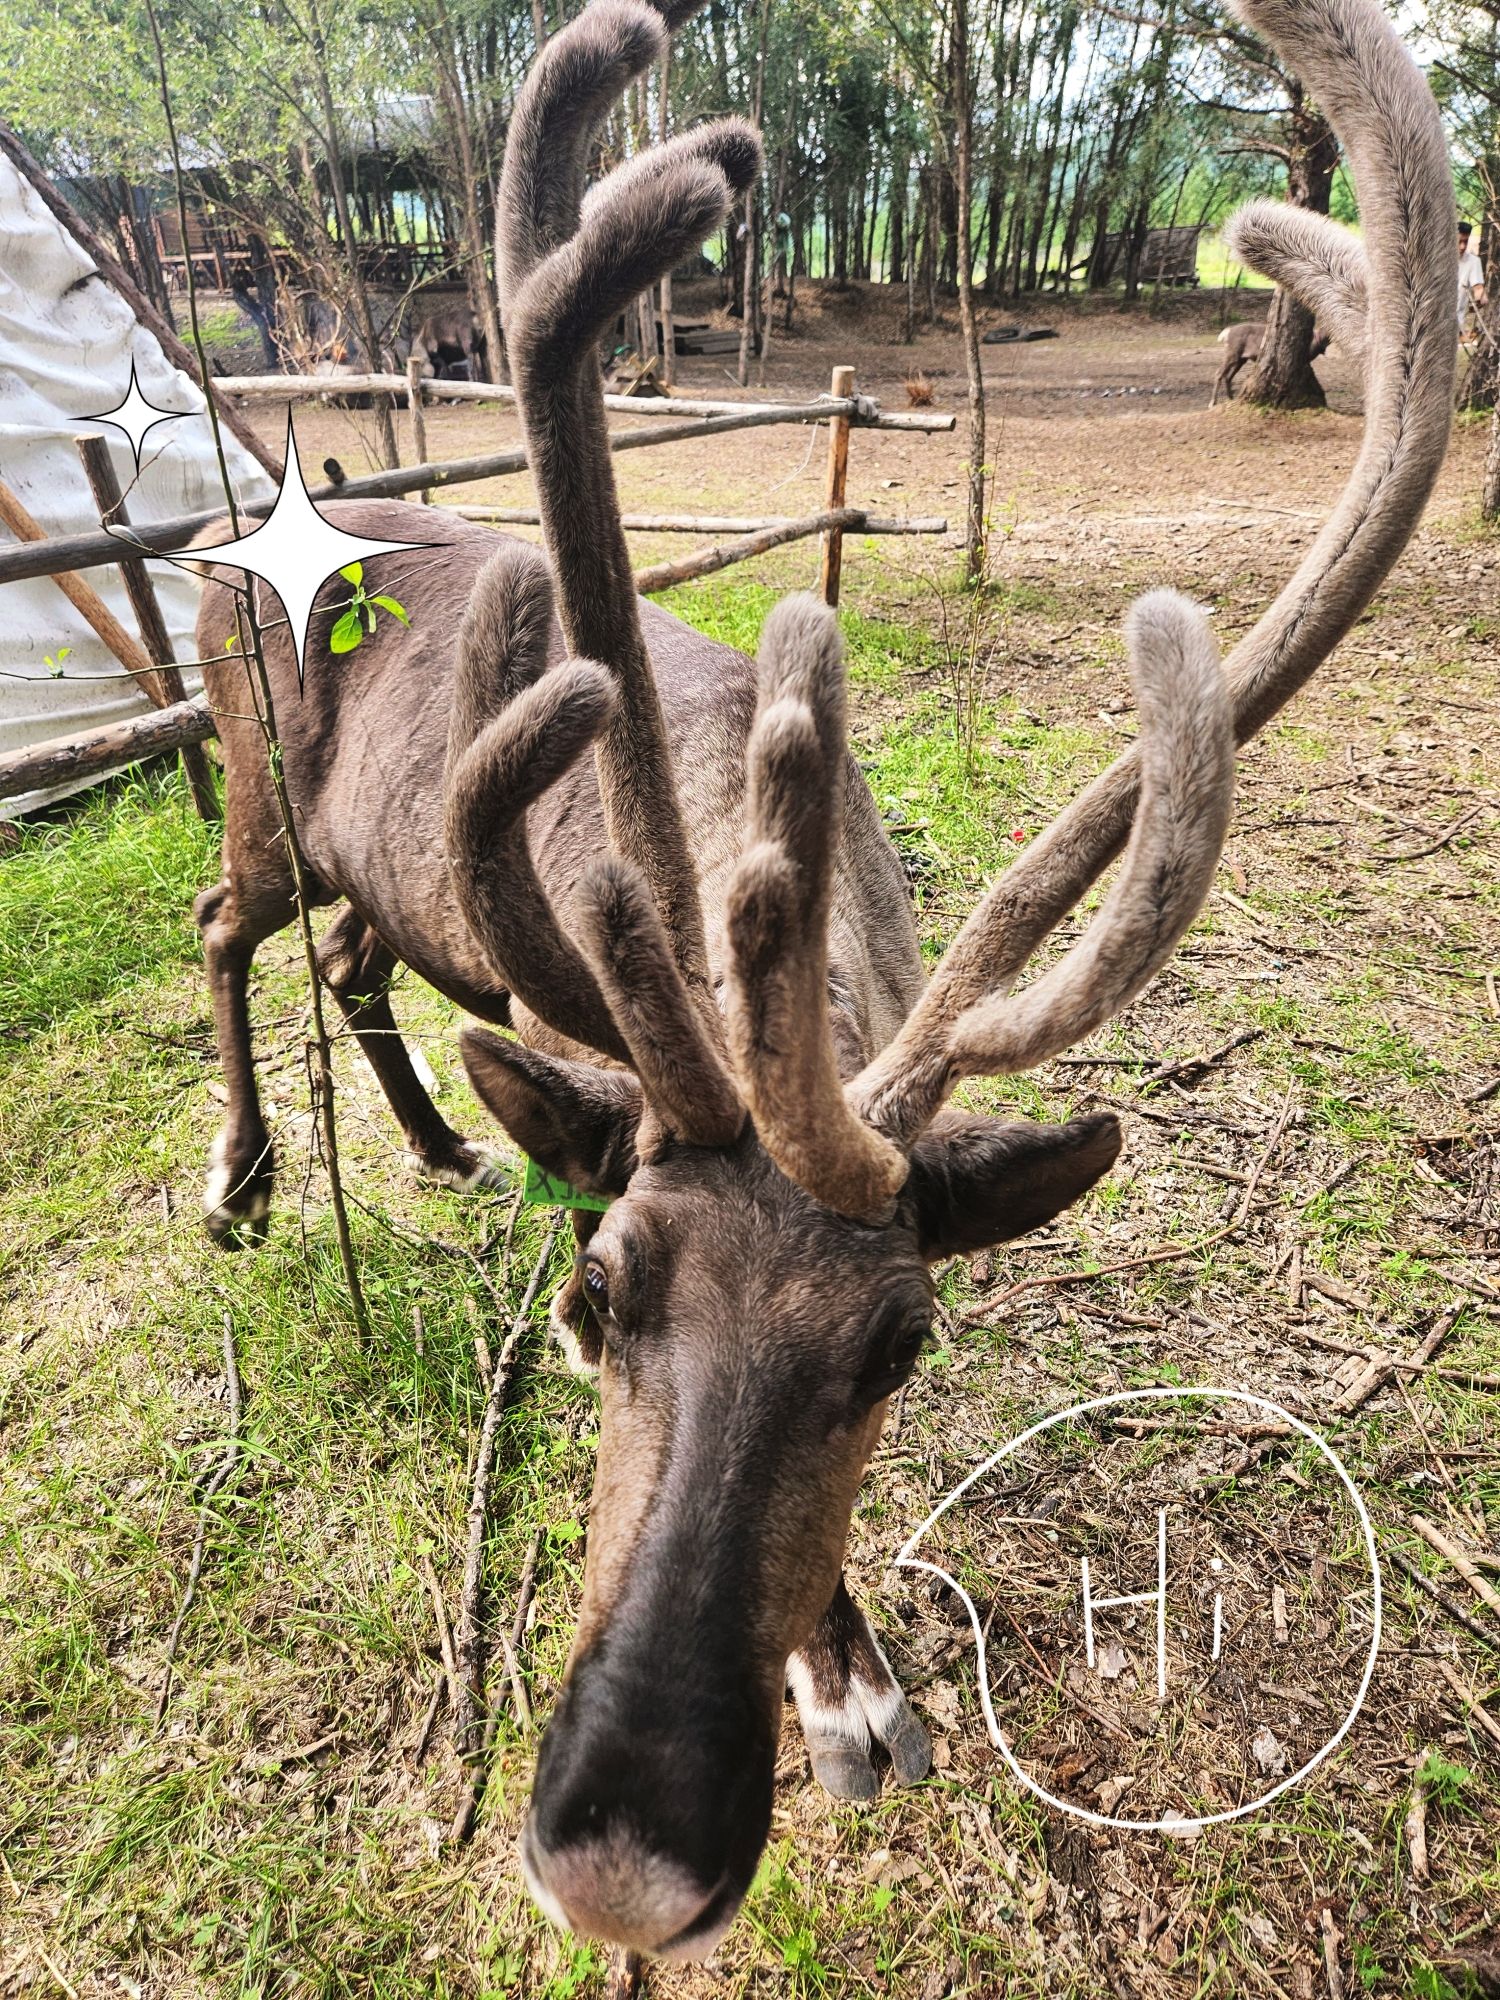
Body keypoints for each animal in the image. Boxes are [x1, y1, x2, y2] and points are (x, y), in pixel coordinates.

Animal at [188, 0, 1455, 1962]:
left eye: (902, 1341)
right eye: (605, 1295)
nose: (625, 1866)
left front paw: (850, 1682)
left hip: (387, 876)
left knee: (343, 958)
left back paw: (429, 1141)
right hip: (258, 801)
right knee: (221, 925)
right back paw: (246, 1177)